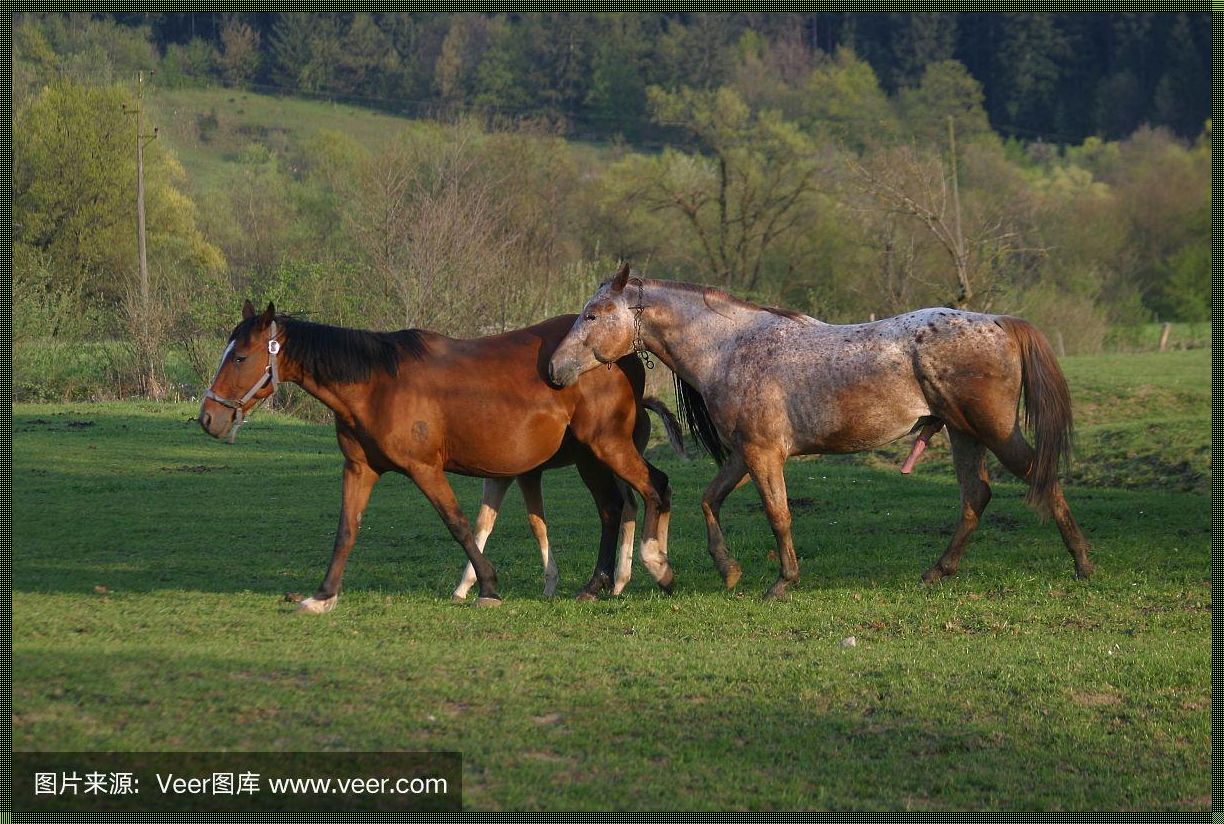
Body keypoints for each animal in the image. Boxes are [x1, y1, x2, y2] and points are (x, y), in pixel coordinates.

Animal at [199, 298, 680, 607]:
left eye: (240, 358)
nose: (208, 417)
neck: (379, 383)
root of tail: (624, 354)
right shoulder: (359, 469)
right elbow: (346, 530)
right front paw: (322, 595)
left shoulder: (425, 469)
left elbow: (459, 524)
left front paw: (488, 587)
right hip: (590, 458)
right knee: (613, 508)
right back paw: (598, 585)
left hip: (606, 448)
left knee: (653, 488)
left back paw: (657, 570)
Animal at [550, 263, 1096, 597]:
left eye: (593, 314)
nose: (554, 370)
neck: (731, 348)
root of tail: (1000, 322)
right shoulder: (745, 455)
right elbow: (710, 500)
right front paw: (729, 570)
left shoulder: (764, 455)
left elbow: (779, 516)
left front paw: (783, 581)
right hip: (964, 434)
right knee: (976, 496)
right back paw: (938, 571)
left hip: (994, 432)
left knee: (1040, 477)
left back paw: (1083, 564)